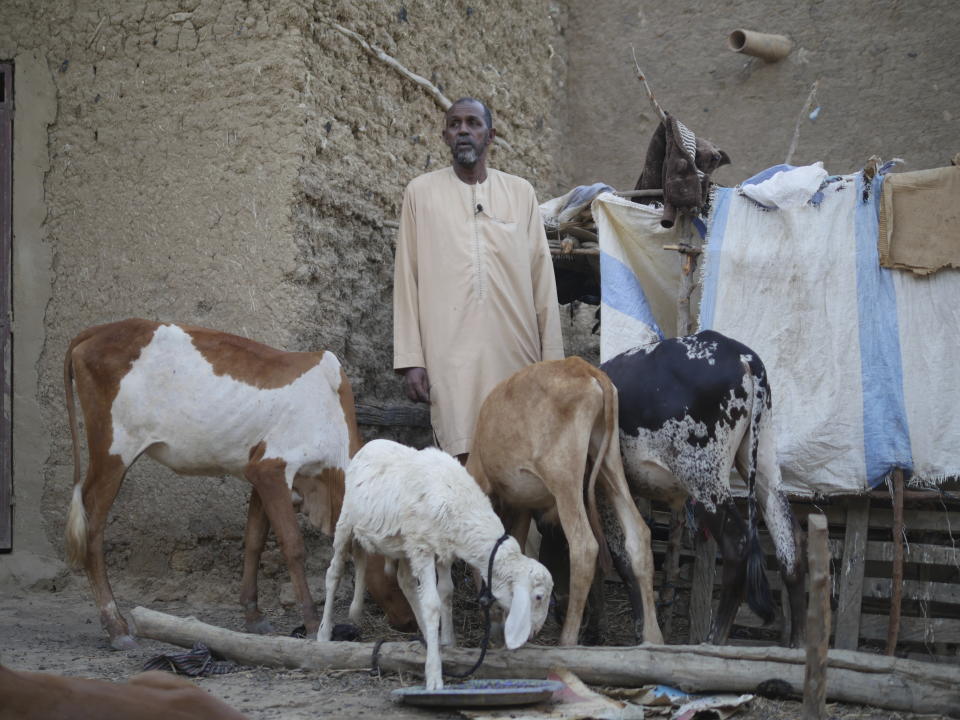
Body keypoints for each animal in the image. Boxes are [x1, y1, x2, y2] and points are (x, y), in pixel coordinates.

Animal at [63, 318, 412, 648]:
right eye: (395, 569)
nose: (409, 622)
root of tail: (97, 331)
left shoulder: (257, 473)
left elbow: (254, 540)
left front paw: (253, 615)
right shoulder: (273, 468)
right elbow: (292, 545)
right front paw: (312, 623)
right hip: (113, 452)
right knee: (92, 528)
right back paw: (117, 627)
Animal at [318, 438, 552, 692]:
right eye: (538, 597)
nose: (535, 631)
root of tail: (371, 444)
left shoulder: (442, 550)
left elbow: (446, 592)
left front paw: (447, 641)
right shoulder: (423, 547)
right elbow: (432, 604)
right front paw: (434, 675)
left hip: (404, 544)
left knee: (405, 581)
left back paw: (425, 633)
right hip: (347, 520)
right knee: (333, 573)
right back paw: (323, 632)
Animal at [464, 358, 660, 644]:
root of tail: (585, 368)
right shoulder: (523, 507)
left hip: (564, 476)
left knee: (584, 546)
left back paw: (567, 640)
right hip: (609, 462)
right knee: (639, 535)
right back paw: (653, 638)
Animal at [600, 332, 808, 648]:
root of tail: (743, 356)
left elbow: (622, 557)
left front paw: (643, 635)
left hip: (704, 478)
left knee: (739, 544)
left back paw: (713, 639)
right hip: (764, 464)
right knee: (788, 539)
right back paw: (796, 646)